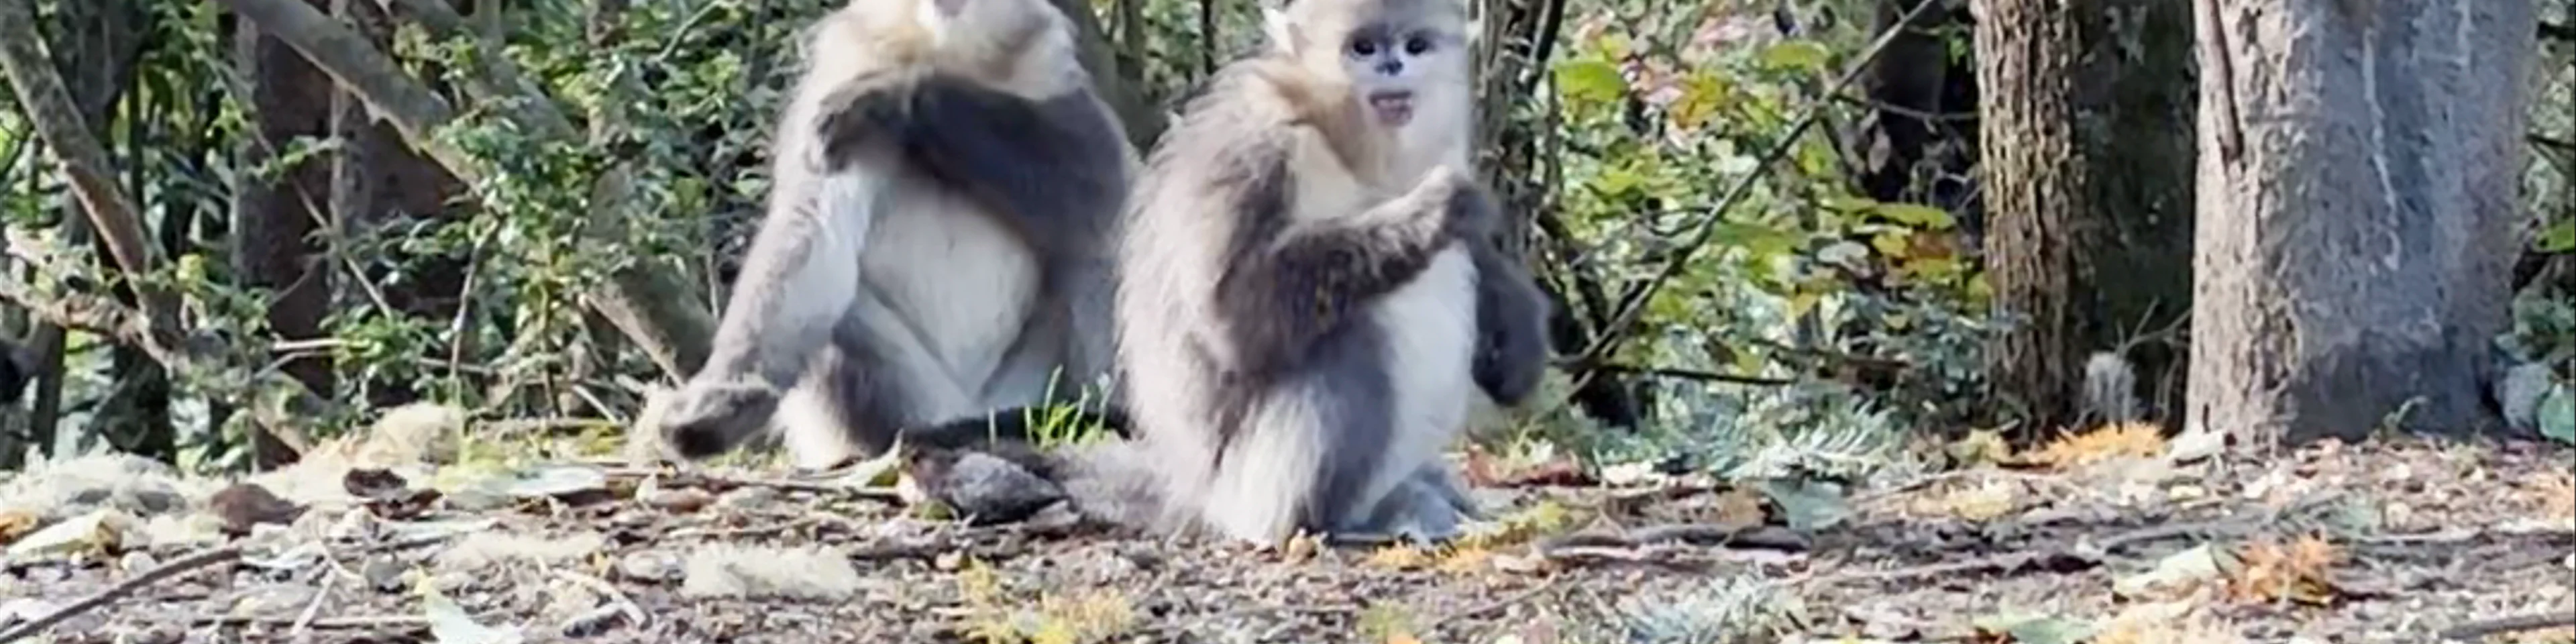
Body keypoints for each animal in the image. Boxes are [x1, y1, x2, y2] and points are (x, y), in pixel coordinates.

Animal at [634, 0, 1138, 471]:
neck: (944, 48)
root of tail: (970, 407)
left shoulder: (1044, 56)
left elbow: (1101, 183)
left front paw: (901, 98)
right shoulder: (844, 63)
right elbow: (810, 226)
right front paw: (725, 400)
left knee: (1095, 250)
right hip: (913, 394)